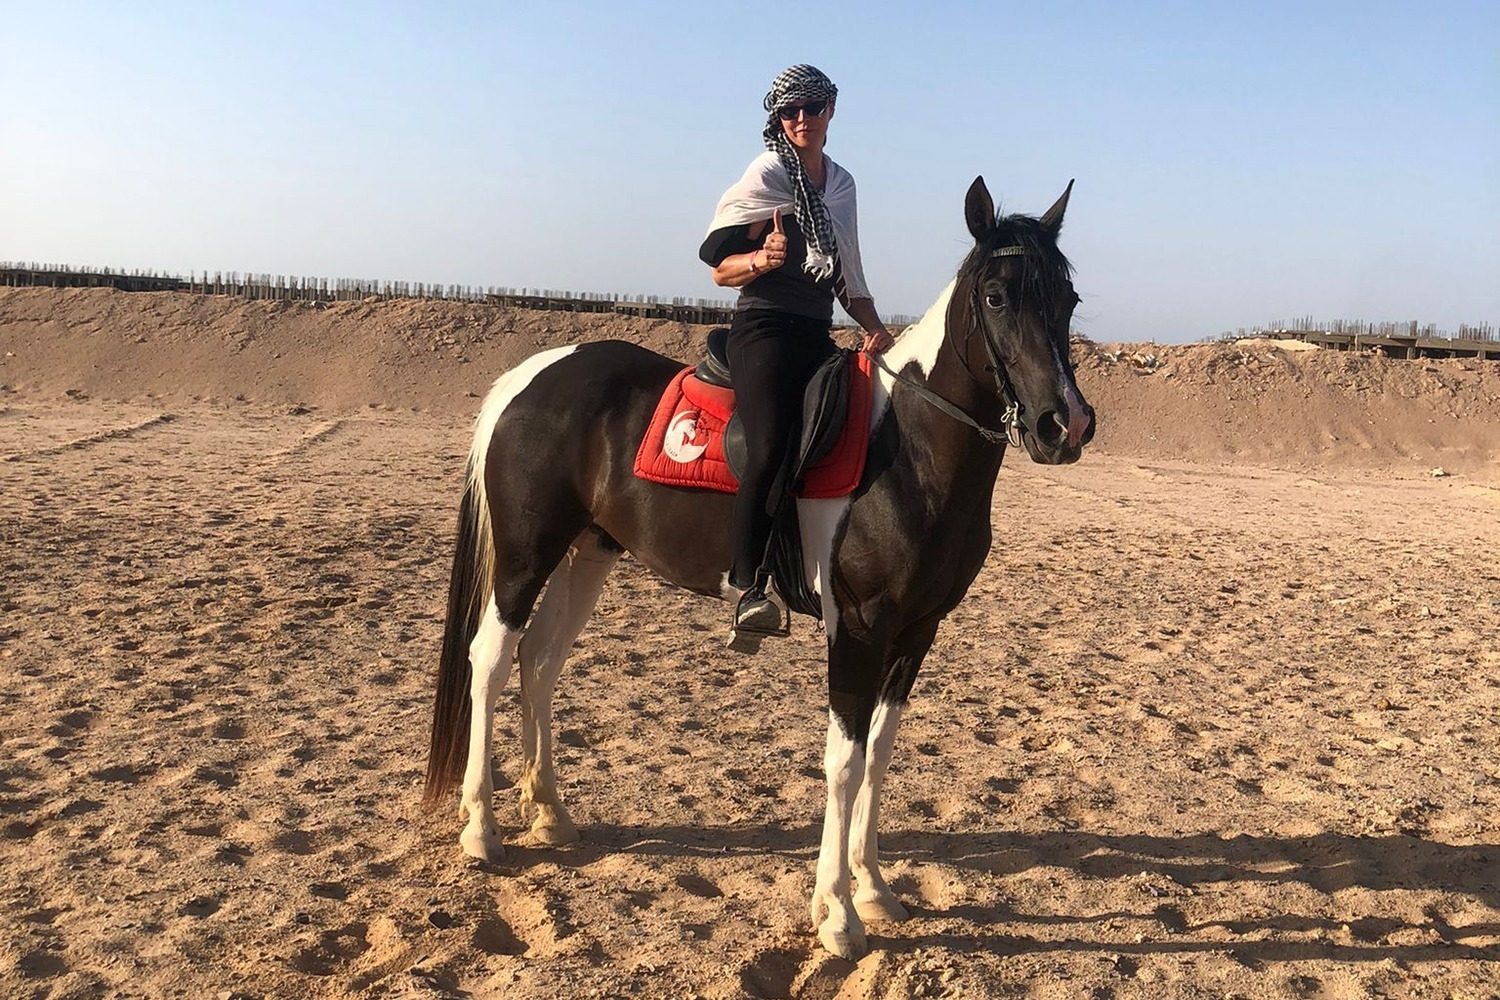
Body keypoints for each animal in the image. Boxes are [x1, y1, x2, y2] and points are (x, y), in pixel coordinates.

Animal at [424, 176, 1095, 960]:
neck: (910, 449)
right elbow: (844, 762)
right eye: (995, 296)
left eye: (1068, 299)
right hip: (526, 557)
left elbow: (881, 755)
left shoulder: (917, 632)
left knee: (541, 664)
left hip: (586, 554)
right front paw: (837, 915)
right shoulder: (858, 629)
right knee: (492, 661)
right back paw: (482, 829)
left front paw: (875, 888)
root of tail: (529, 375)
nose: (1065, 425)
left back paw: (551, 813)